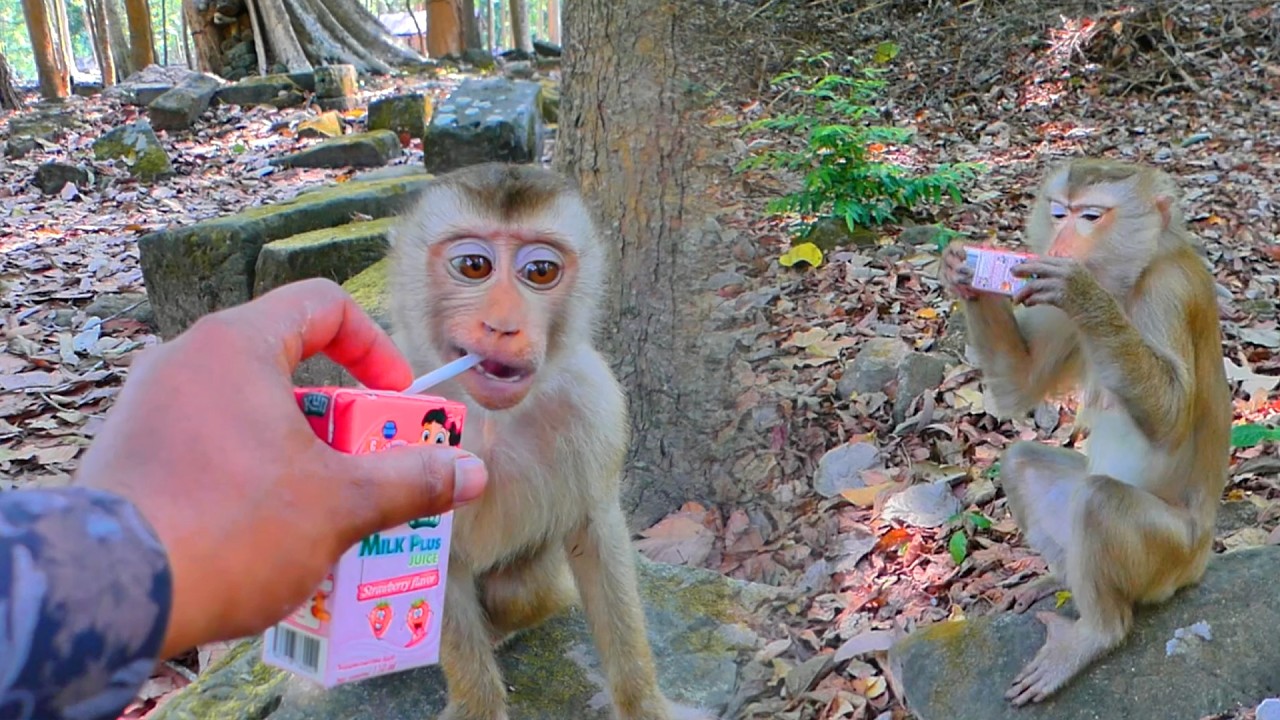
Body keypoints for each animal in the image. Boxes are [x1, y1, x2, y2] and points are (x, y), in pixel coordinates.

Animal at [386, 162, 678, 720]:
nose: (503, 325)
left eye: (540, 271)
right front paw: (478, 705)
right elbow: (431, 556)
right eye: (473, 266)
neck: (487, 417)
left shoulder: (593, 403)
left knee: (526, 589)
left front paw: (640, 701)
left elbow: (594, 534)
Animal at [939, 158, 1232, 706]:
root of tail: (1202, 557)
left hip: (1172, 558)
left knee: (1099, 501)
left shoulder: (1171, 291)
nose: (1060, 245)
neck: (1131, 280)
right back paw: (1058, 581)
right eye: (1059, 213)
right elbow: (1022, 382)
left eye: (1091, 216)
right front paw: (962, 270)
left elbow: (1173, 419)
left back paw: (1096, 633)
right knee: (1022, 463)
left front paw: (1083, 294)